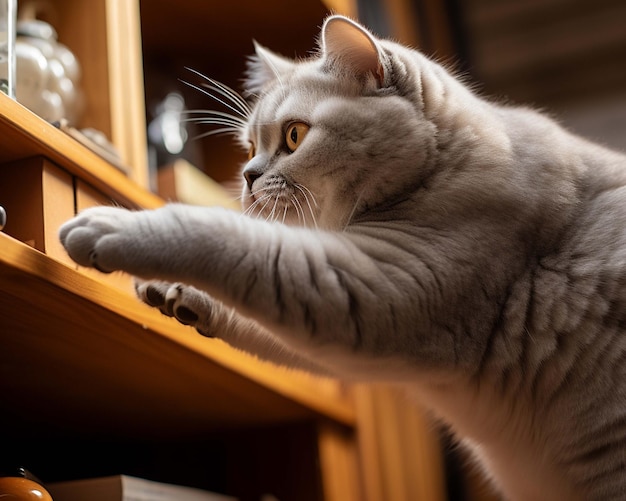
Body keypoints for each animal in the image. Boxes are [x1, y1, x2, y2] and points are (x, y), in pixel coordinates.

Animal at [58, 13, 624, 498]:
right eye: (250, 147)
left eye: (294, 135)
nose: (247, 176)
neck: (445, 164)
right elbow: (258, 308)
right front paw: (176, 294)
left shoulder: (370, 284)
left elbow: (232, 238)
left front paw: (110, 225)